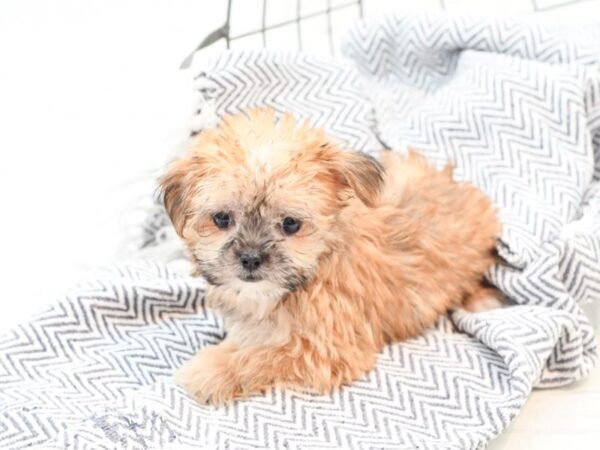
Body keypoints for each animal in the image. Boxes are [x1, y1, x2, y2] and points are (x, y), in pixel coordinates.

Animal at [161, 108, 502, 404]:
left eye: (290, 224)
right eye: (221, 219)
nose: (251, 258)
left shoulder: (326, 351)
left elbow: (263, 356)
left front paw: (213, 369)